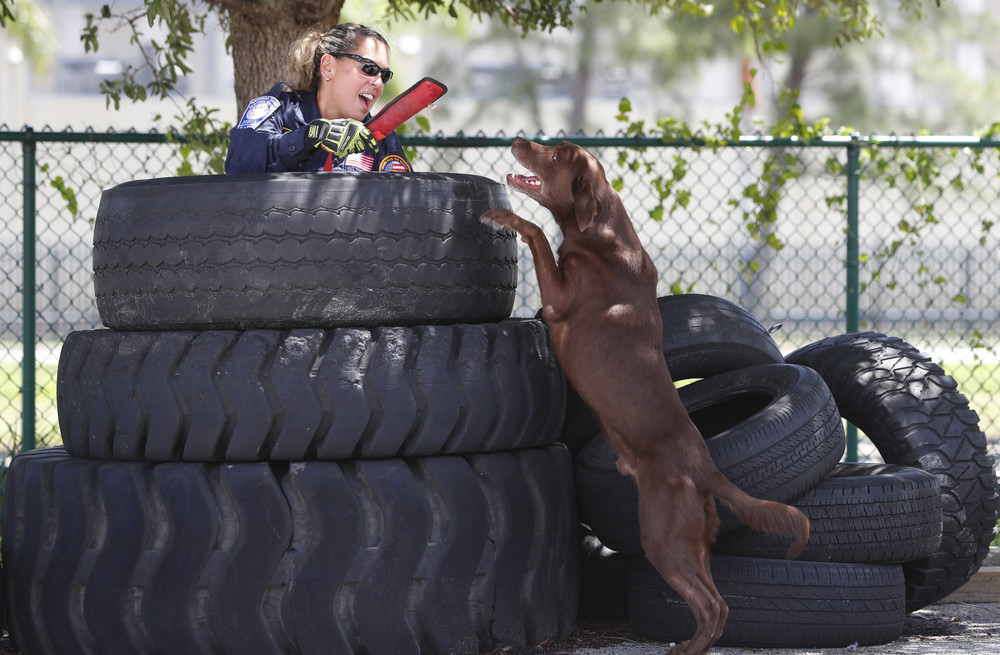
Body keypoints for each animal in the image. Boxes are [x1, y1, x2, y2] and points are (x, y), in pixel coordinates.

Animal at [480, 138, 808, 655]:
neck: (603, 233)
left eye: (555, 154)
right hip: (691, 543)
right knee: (718, 602)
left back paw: (686, 648)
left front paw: (500, 216)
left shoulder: (559, 300)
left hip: (661, 537)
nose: (516, 140)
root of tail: (705, 469)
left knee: (714, 605)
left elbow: (536, 234)